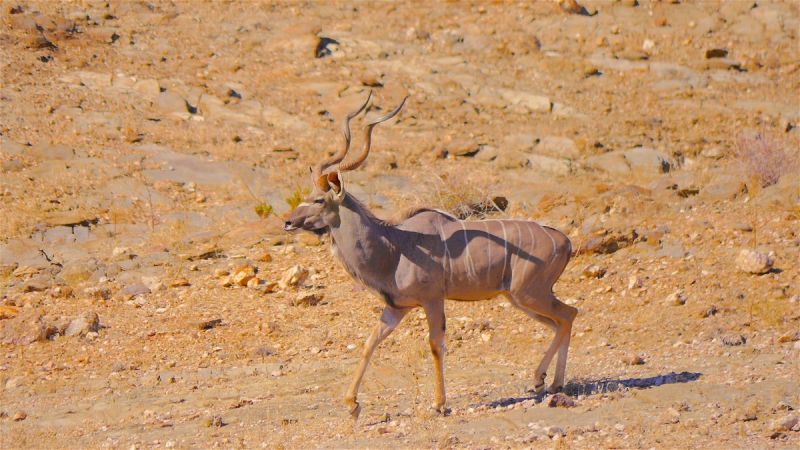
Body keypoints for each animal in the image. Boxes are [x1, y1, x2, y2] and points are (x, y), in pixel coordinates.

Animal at [282, 93, 576, 416]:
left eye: (318, 200)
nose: (288, 222)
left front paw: (439, 403)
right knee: (560, 321)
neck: (395, 247)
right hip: (519, 299)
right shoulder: (396, 309)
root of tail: (564, 241)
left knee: (569, 314)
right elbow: (370, 343)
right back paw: (547, 381)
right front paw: (352, 404)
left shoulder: (432, 300)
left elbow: (436, 345)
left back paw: (545, 380)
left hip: (529, 294)